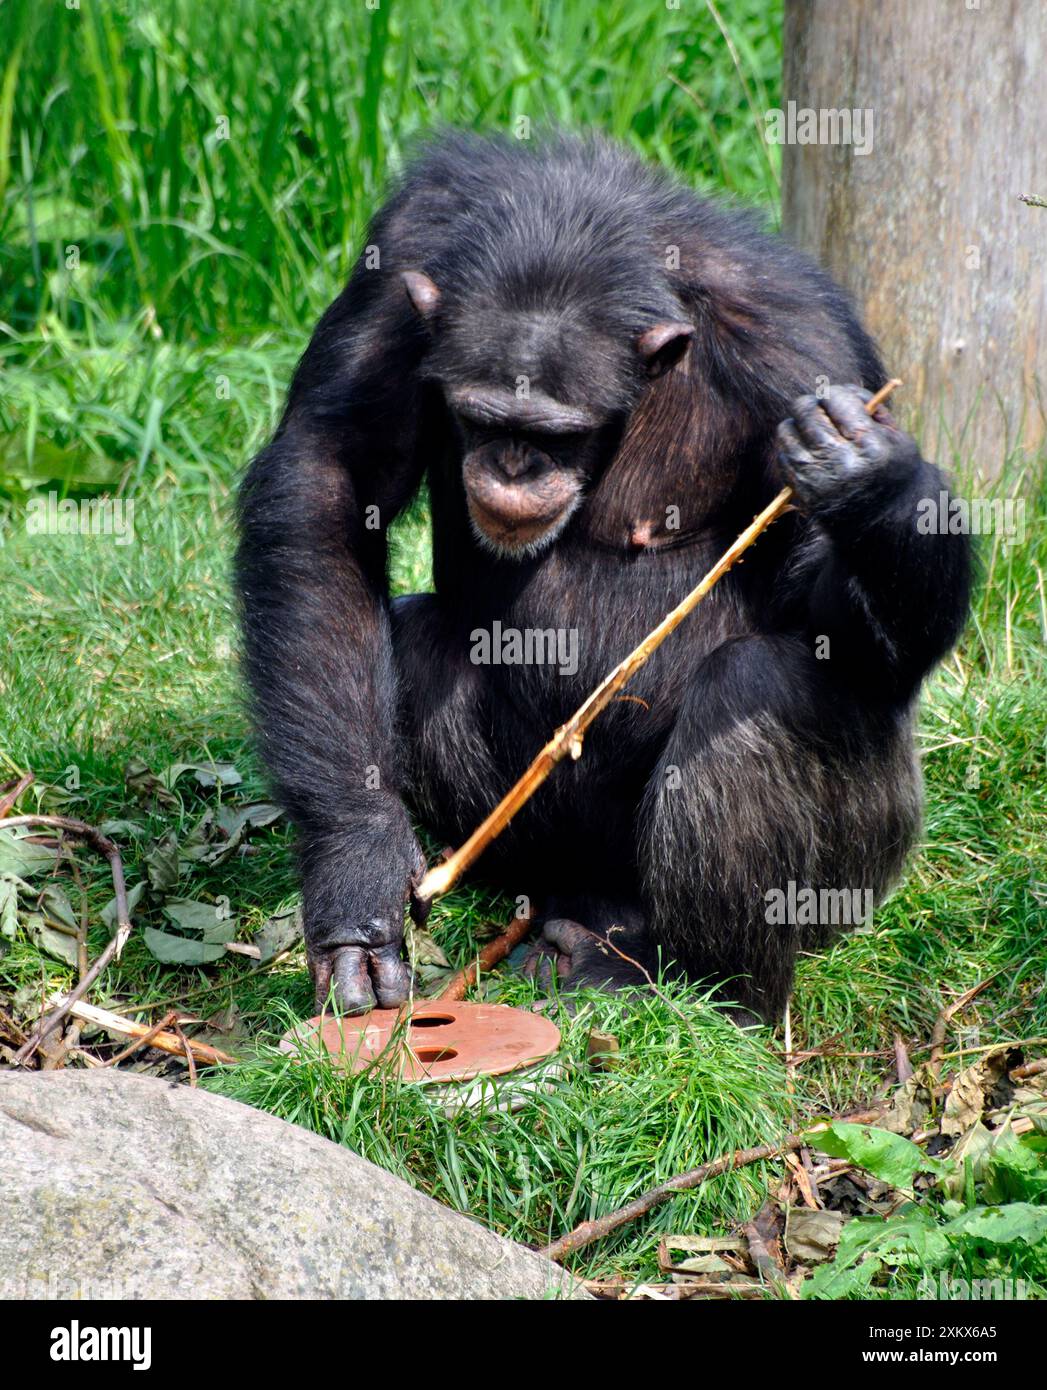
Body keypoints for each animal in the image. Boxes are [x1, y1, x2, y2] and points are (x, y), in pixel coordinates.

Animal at [236, 130, 973, 1023]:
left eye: (559, 433)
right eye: (480, 418)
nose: (513, 467)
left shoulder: (801, 350)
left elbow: (828, 622)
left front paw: (875, 482)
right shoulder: (395, 270)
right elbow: (331, 481)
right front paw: (357, 872)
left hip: (861, 878)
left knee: (764, 683)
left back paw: (696, 987)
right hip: (545, 850)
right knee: (417, 639)